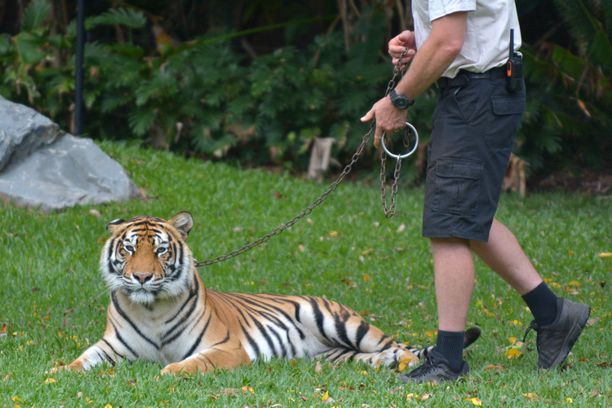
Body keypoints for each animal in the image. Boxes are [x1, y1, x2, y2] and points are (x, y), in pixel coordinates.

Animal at [56, 212, 478, 374]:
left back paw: (415, 365)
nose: (142, 277)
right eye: (129, 249)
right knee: (376, 355)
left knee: (402, 346)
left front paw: (168, 371)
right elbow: (80, 362)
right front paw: (57, 373)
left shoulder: (226, 348)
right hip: (339, 354)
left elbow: (191, 363)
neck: (151, 309)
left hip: (345, 324)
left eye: (160, 250)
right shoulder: (112, 347)